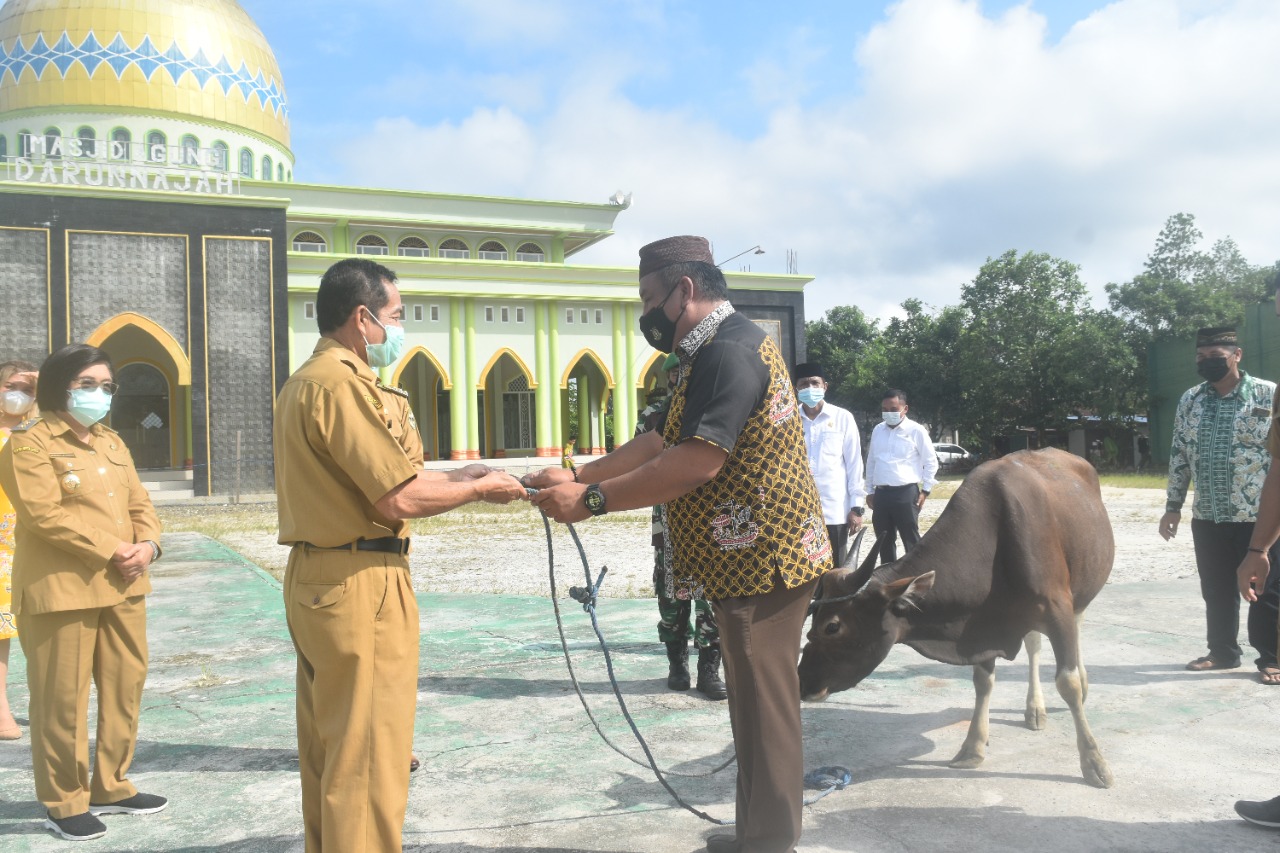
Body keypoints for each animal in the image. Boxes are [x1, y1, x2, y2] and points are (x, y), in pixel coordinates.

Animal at [798, 448, 1111, 788]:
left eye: (832, 626)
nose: (803, 681)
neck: (994, 542)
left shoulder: (1056, 609)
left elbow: (1068, 683)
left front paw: (1094, 761)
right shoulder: (983, 625)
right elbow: (982, 682)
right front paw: (973, 746)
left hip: (1079, 595)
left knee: (1072, 634)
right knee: (1033, 644)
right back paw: (1034, 708)